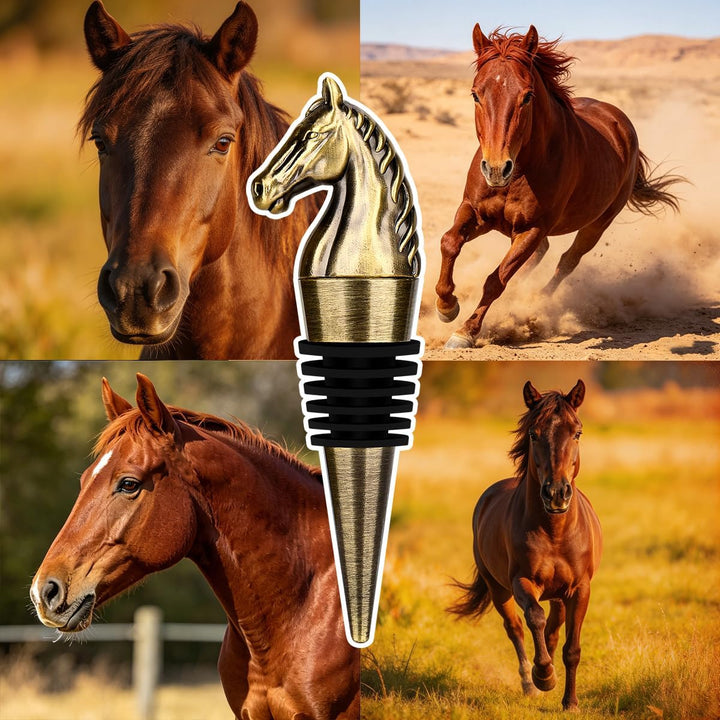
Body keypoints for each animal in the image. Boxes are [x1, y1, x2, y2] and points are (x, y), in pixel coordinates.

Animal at [435, 25, 683, 349]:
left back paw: (536, 305)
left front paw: (465, 332)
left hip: (597, 224)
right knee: (540, 256)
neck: (522, 170)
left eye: (527, 96)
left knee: (567, 261)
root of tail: (620, 120)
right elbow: (449, 242)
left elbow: (495, 281)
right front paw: (446, 306)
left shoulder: (532, 229)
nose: (497, 169)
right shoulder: (475, 212)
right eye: (476, 94)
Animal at [449, 379, 602, 711]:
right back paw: (530, 682)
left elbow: (571, 647)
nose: (556, 493)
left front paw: (570, 702)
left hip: (559, 596)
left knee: (553, 632)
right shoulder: (522, 581)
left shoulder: (580, 589)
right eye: (534, 433)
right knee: (516, 628)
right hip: (498, 589)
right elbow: (534, 618)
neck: (554, 532)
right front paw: (543, 675)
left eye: (577, 432)